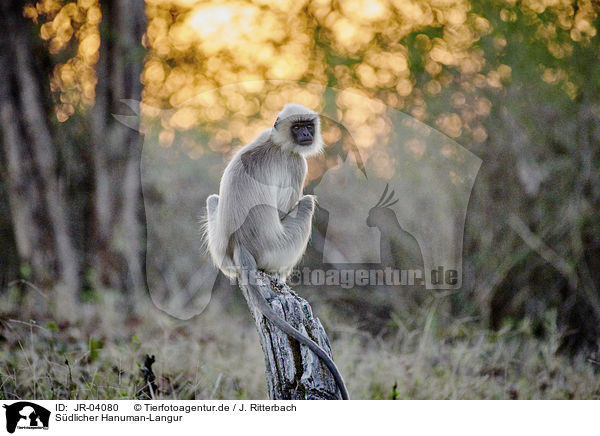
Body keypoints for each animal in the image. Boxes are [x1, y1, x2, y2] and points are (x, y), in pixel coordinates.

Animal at [205, 104, 350, 400]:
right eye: (297, 127)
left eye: (307, 125)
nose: (306, 134)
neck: (276, 142)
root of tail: (240, 246)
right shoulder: (295, 164)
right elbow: (286, 208)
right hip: (278, 248)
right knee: (306, 204)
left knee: (213, 199)